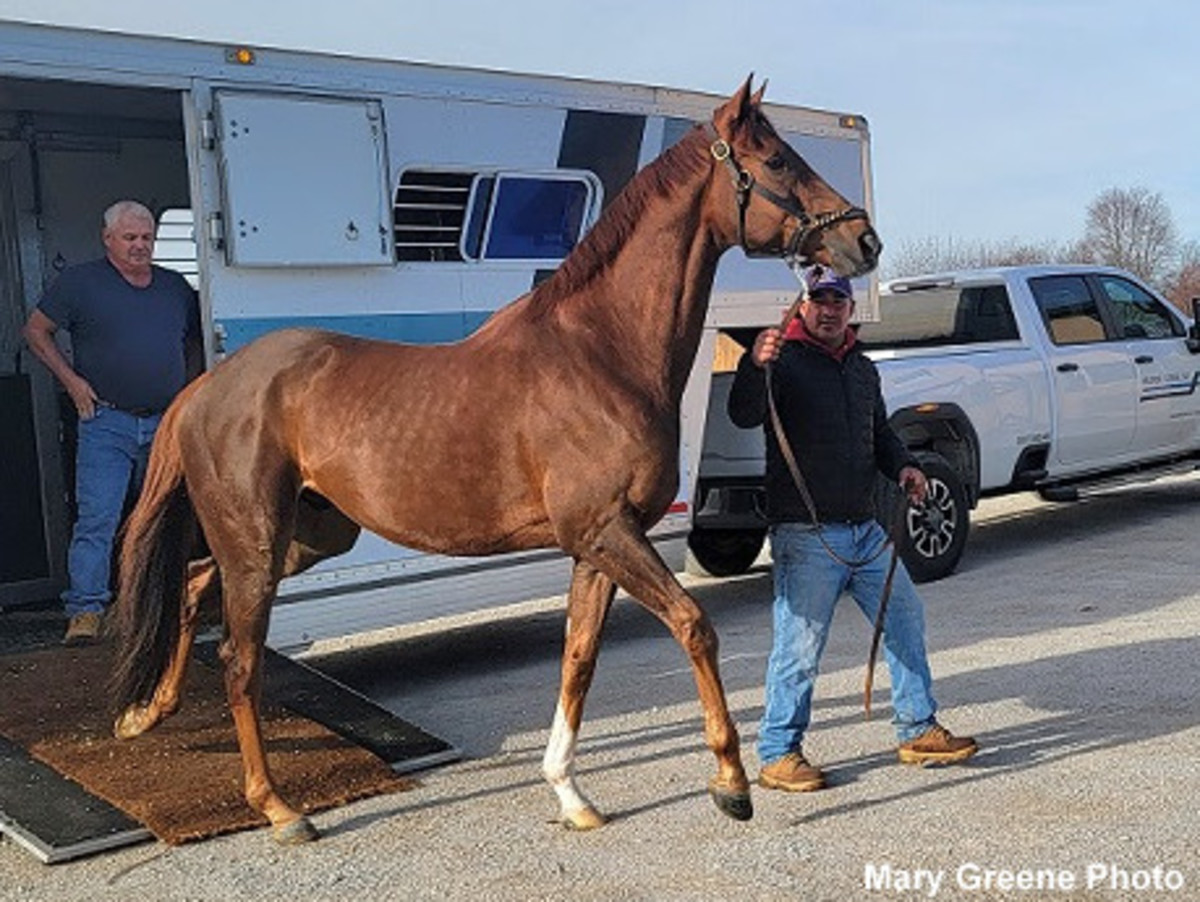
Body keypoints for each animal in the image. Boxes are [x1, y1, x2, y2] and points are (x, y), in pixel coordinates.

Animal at [110, 79, 883, 844]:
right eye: (776, 159)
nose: (863, 239)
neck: (601, 351)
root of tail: (209, 388)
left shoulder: (597, 546)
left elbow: (579, 658)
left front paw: (570, 794)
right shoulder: (608, 533)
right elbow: (694, 625)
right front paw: (730, 783)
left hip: (306, 538)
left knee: (191, 587)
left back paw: (146, 714)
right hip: (259, 547)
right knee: (240, 661)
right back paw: (276, 807)